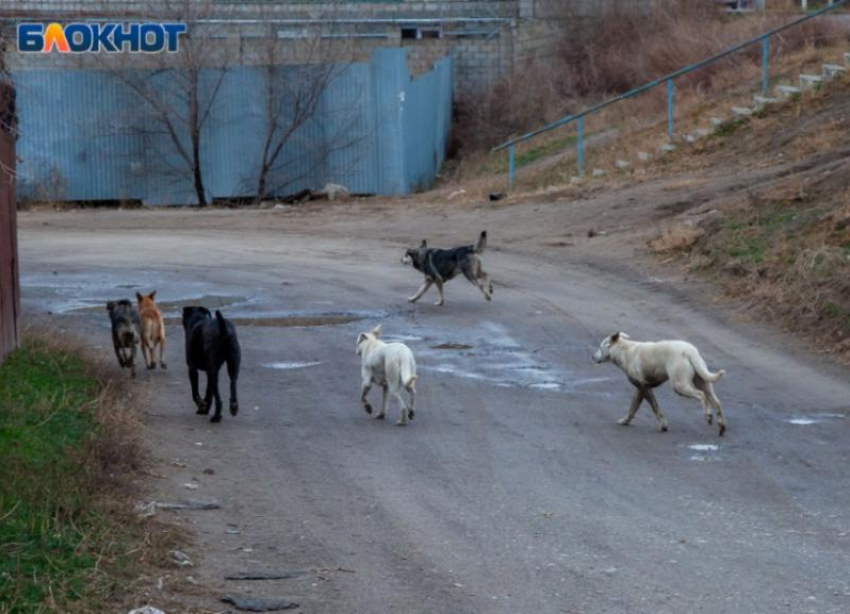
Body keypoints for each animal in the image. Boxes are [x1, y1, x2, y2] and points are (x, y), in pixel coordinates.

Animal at [592, 332, 724, 438]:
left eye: (600, 347)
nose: (592, 357)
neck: (624, 349)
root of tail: (690, 351)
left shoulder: (644, 387)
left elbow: (655, 407)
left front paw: (663, 425)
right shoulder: (641, 389)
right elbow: (633, 406)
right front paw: (625, 420)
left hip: (679, 385)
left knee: (701, 395)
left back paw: (708, 416)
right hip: (704, 382)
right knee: (716, 402)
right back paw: (721, 427)